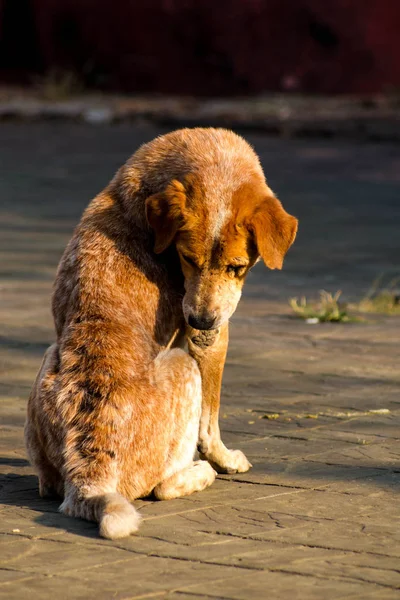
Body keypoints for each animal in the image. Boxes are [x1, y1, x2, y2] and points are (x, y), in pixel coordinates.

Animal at [24, 126, 294, 540]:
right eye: (187, 258)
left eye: (236, 267)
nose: (200, 321)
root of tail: (90, 476)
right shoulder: (211, 340)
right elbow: (209, 425)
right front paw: (227, 460)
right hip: (183, 365)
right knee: (162, 487)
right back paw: (202, 473)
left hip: (47, 361)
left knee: (48, 485)